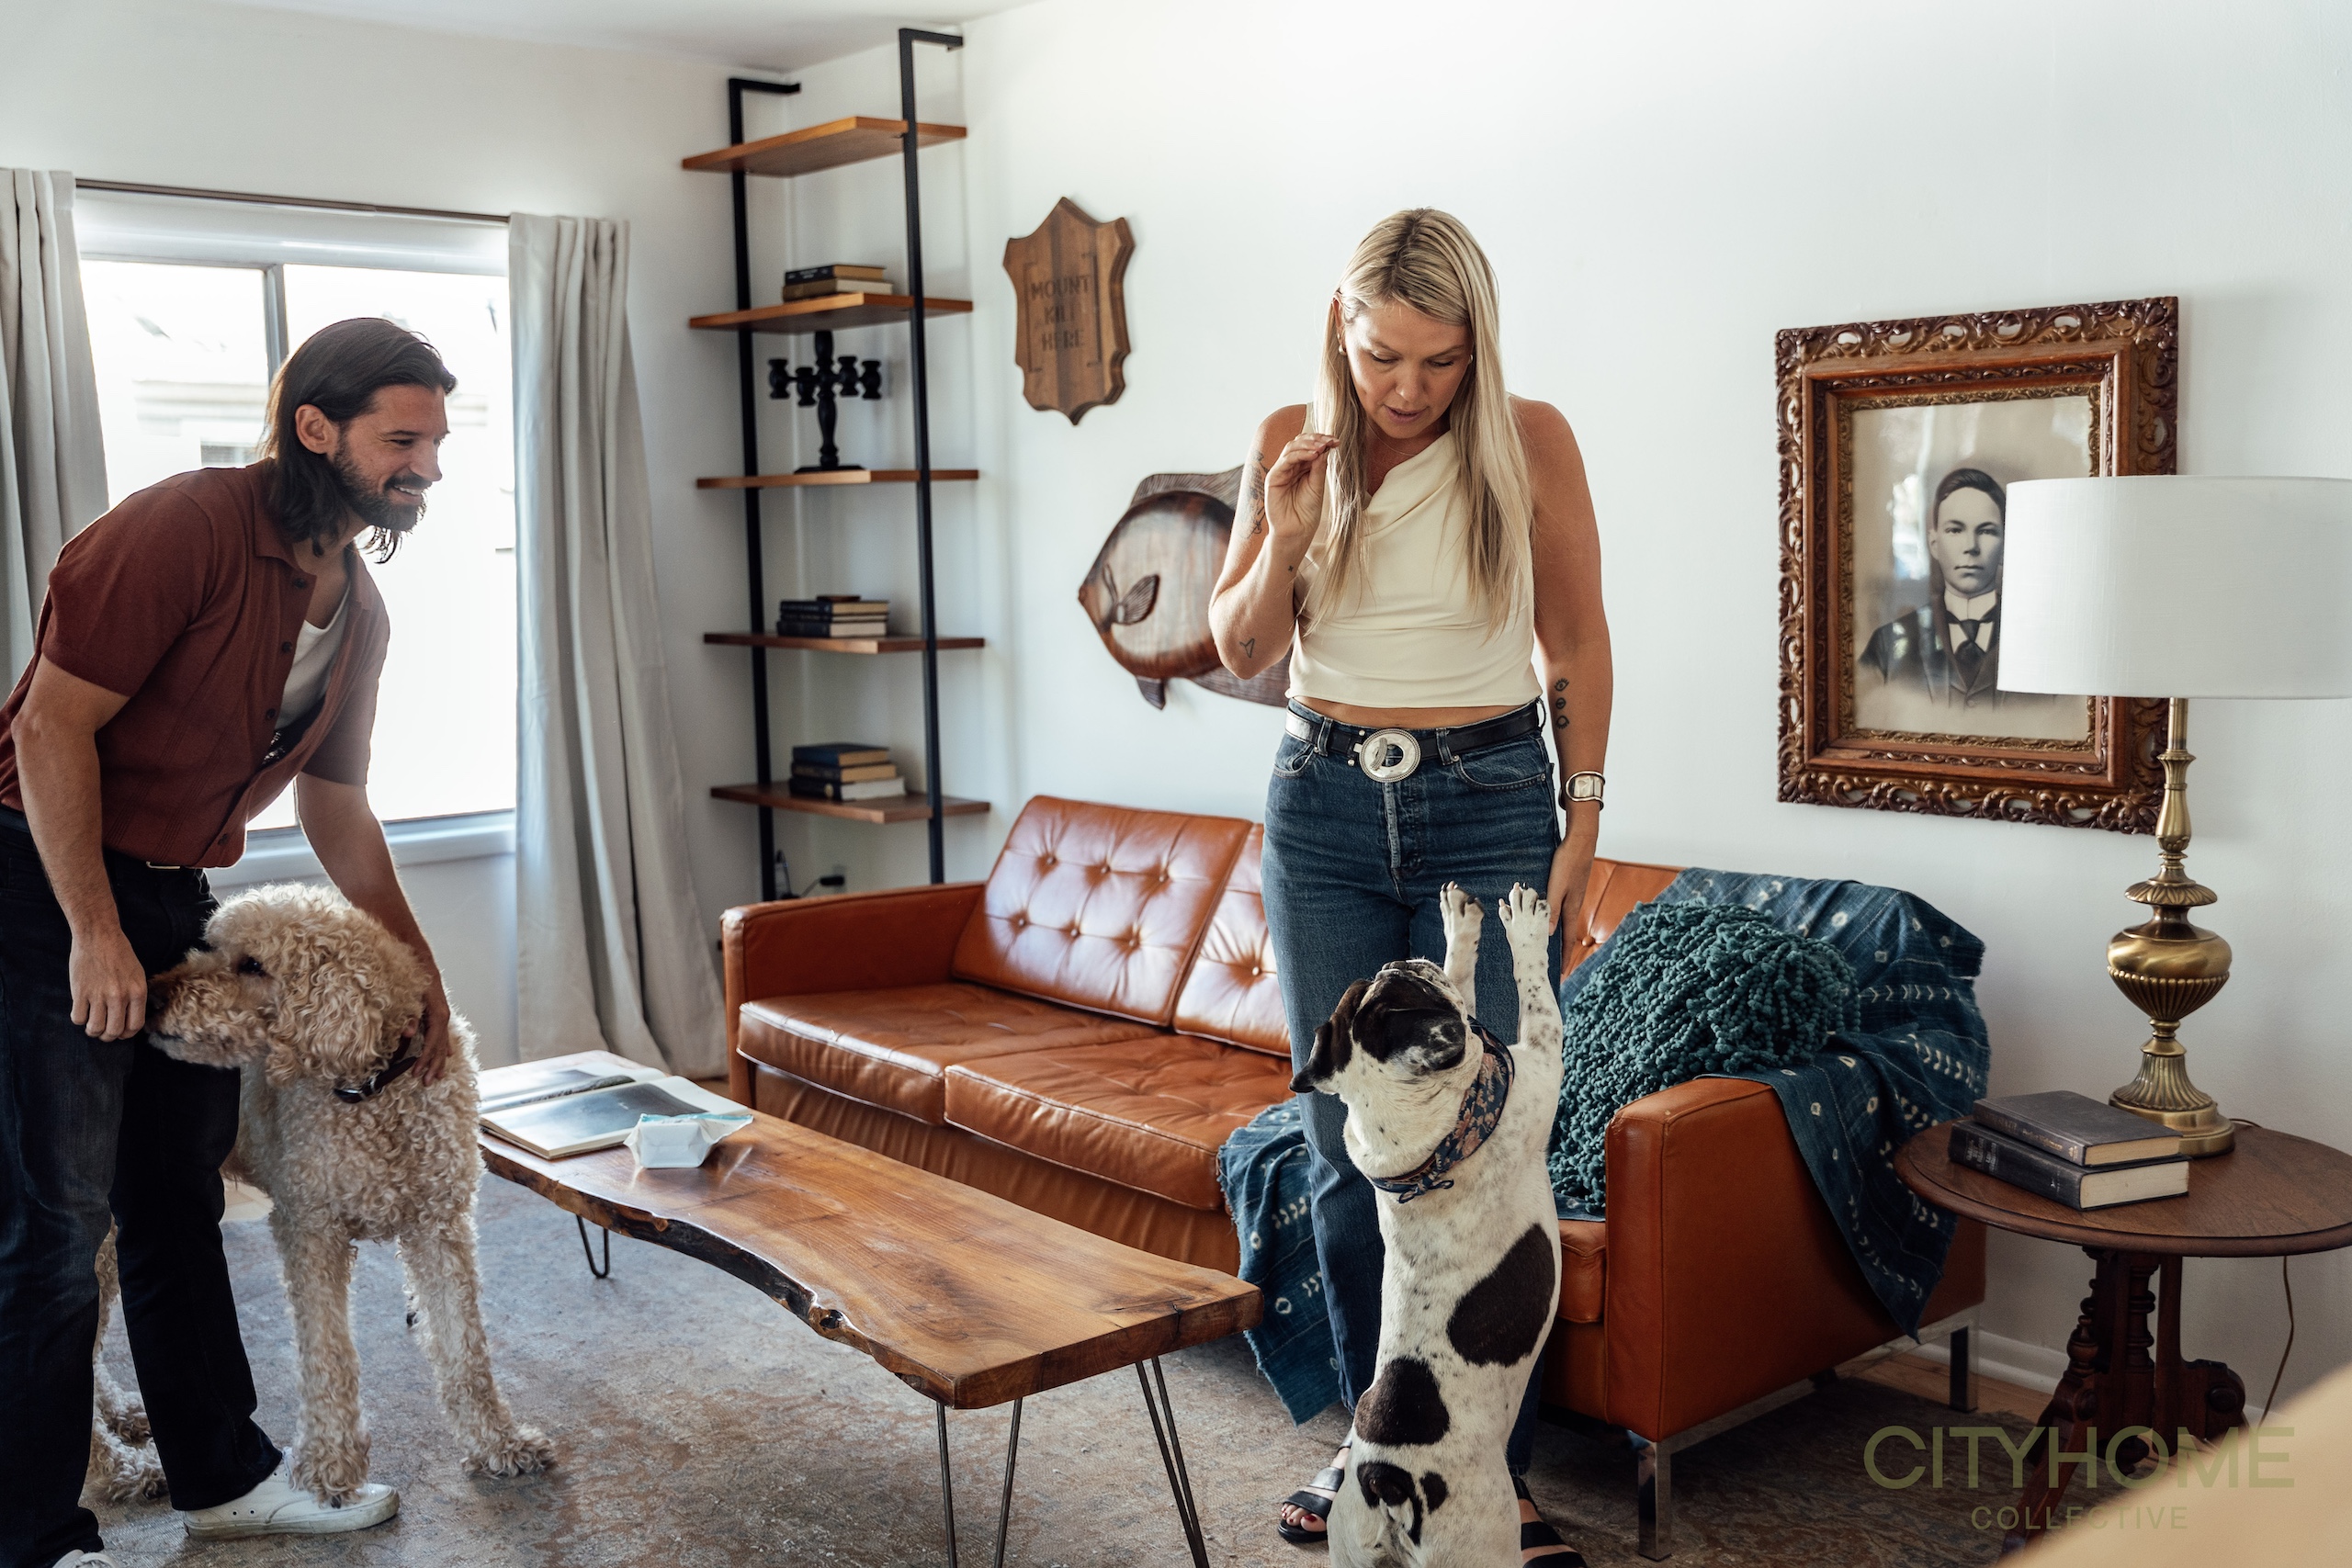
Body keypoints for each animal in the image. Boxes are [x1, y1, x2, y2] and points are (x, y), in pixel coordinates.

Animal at [148, 883, 554, 1504]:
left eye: (252, 964)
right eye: (212, 946)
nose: (148, 996)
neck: (374, 1089)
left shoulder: (438, 1225)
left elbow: (466, 1350)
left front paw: (497, 1443)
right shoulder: (311, 1229)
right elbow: (328, 1354)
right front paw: (330, 1463)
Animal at [1291, 883, 1565, 1567]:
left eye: (1370, 989)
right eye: (1408, 999)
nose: (1394, 962)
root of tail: (1387, 1480)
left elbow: (1464, 978)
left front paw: (1457, 926)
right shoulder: (1540, 1059)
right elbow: (1533, 993)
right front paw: (1524, 927)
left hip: (1351, 1547)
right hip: (1484, 1540)